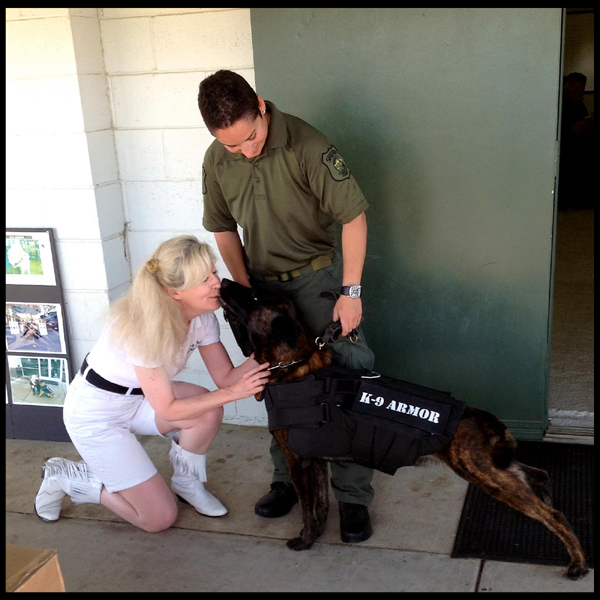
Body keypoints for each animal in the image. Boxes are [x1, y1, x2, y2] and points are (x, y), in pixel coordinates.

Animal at [218, 278, 588, 580]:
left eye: (253, 296)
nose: (221, 281)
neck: (293, 367)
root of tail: (483, 418)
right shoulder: (316, 461)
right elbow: (320, 506)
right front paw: (317, 536)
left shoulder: (298, 462)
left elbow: (309, 509)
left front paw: (304, 541)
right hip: (494, 468)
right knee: (537, 474)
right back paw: (547, 495)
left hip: (483, 473)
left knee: (553, 514)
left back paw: (577, 563)